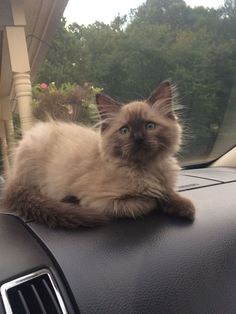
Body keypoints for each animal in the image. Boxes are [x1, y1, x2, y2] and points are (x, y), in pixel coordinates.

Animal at [2, 81, 195, 228]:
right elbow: (146, 202)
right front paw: (156, 200)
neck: (147, 169)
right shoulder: (102, 202)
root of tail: (13, 175)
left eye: (150, 126)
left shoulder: (164, 184)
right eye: (125, 130)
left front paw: (186, 208)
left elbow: (169, 193)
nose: (138, 139)